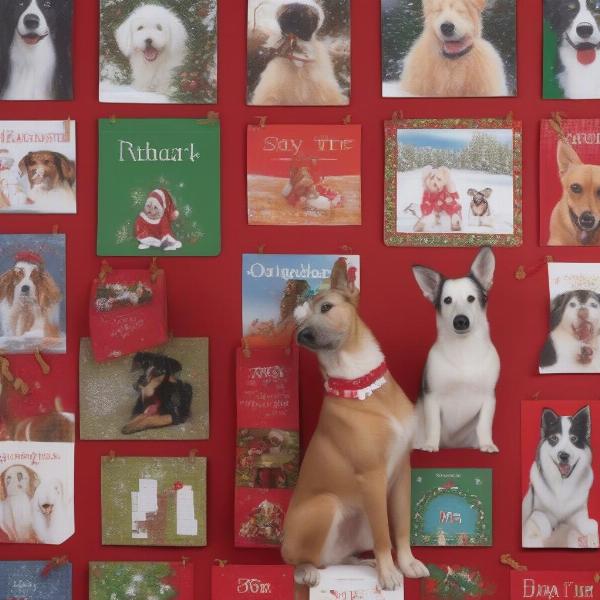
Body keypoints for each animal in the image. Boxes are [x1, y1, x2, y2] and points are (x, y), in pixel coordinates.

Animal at [282, 256, 426, 592]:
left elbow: (400, 528)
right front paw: (389, 573)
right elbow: (385, 535)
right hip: (326, 506)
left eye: (326, 307)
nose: (303, 336)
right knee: (302, 560)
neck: (361, 385)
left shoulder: (401, 473)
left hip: (359, 522)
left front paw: (407, 563)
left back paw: (361, 562)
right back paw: (308, 572)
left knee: (337, 558)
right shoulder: (372, 477)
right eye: (299, 324)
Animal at [410, 247, 500, 450]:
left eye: (471, 298)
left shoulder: (489, 398)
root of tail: (451, 446)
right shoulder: (432, 397)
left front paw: (487, 444)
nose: (460, 321)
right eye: (447, 300)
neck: (463, 349)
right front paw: (430, 445)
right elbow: (434, 424)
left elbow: (484, 425)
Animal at [520, 406, 600, 548]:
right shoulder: (534, 511)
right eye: (554, 438)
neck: (563, 485)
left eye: (573, 439)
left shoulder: (579, 512)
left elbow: (590, 523)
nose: (563, 455)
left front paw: (591, 539)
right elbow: (541, 518)